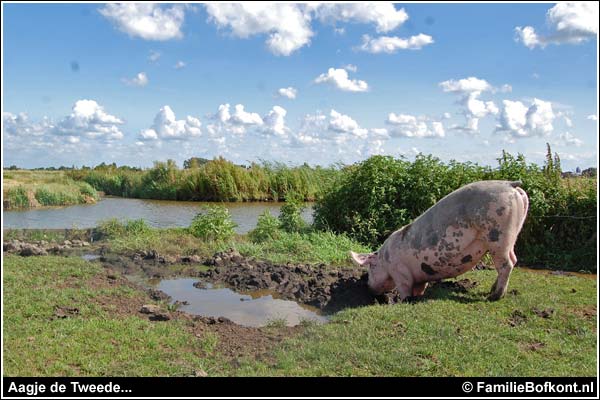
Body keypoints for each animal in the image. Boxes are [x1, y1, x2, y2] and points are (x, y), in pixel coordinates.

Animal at [352, 180, 528, 300]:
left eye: (371, 267)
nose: (369, 288)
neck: (385, 259)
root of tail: (510, 185)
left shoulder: (400, 272)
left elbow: (405, 290)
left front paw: (405, 300)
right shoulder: (419, 276)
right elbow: (420, 287)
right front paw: (418, 297)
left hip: (498, 236)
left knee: (506, 265)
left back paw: (493, 297)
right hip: (512, 234)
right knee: (513, 259)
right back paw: (492, 290)